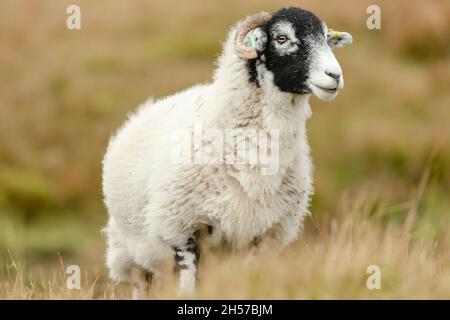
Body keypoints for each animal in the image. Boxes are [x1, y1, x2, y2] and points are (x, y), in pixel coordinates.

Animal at [101, 6, 352, 298]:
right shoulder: (181, 230)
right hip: (130, 254)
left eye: (325, 37)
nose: (335, 75)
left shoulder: (264, 236)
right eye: (282, 38)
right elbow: (188, 288)